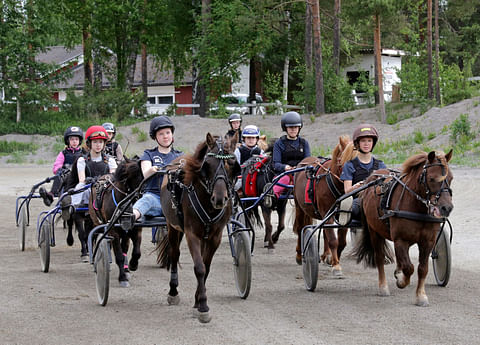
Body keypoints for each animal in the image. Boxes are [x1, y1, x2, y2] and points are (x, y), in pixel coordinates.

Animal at [88, 157, 143, 286]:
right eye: (136, 175)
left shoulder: (136, 229)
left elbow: (136, 252)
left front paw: (132, 265)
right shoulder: (114, 231)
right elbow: (119, 256)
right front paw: (122, 278)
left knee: (125, 248)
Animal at [157, 132, 240, 322]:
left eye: (232, 164)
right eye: (207, 165)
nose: (219, 199)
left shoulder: (215, 236)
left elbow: (206, 266)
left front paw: (197, 301)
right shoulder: (191, 234)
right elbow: (199, 268)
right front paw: (203, 306)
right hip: (172, 227)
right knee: (174, 254)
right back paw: (173, 292)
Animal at [290, 134, 354, 274]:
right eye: (345, 161)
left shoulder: (343, 214)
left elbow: (341, 241)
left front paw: (332, 260)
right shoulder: (327, 213)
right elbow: (333, 240)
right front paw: (336, 265)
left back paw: (326, 255)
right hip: (299, 207)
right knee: (300, 227)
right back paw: (299, 255)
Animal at [356, 149, 454, 306]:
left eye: (450, 178)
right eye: (432, 179)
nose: (447, 208)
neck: (417, 208)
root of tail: (372, 178)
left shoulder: (428, 241)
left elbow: (422, 269)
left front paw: (421, 296)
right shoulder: (400, 240)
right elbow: (409, 267)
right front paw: (402, 281)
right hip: (374, 230)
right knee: (379, 257)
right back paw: (383, 287)